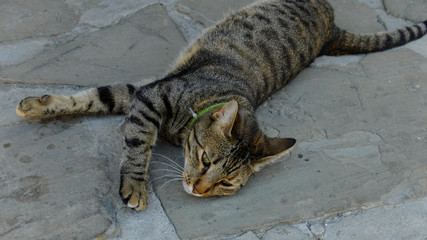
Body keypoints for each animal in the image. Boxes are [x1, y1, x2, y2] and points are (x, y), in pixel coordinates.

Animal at [15, 0, 426, 210]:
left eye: (226, 182)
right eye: (205, 159)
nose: (199, 189)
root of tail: (331, 29)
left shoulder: (142, 95)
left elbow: (103, 100)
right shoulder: (150, 94)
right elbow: (130, 136)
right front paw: (134, 184)